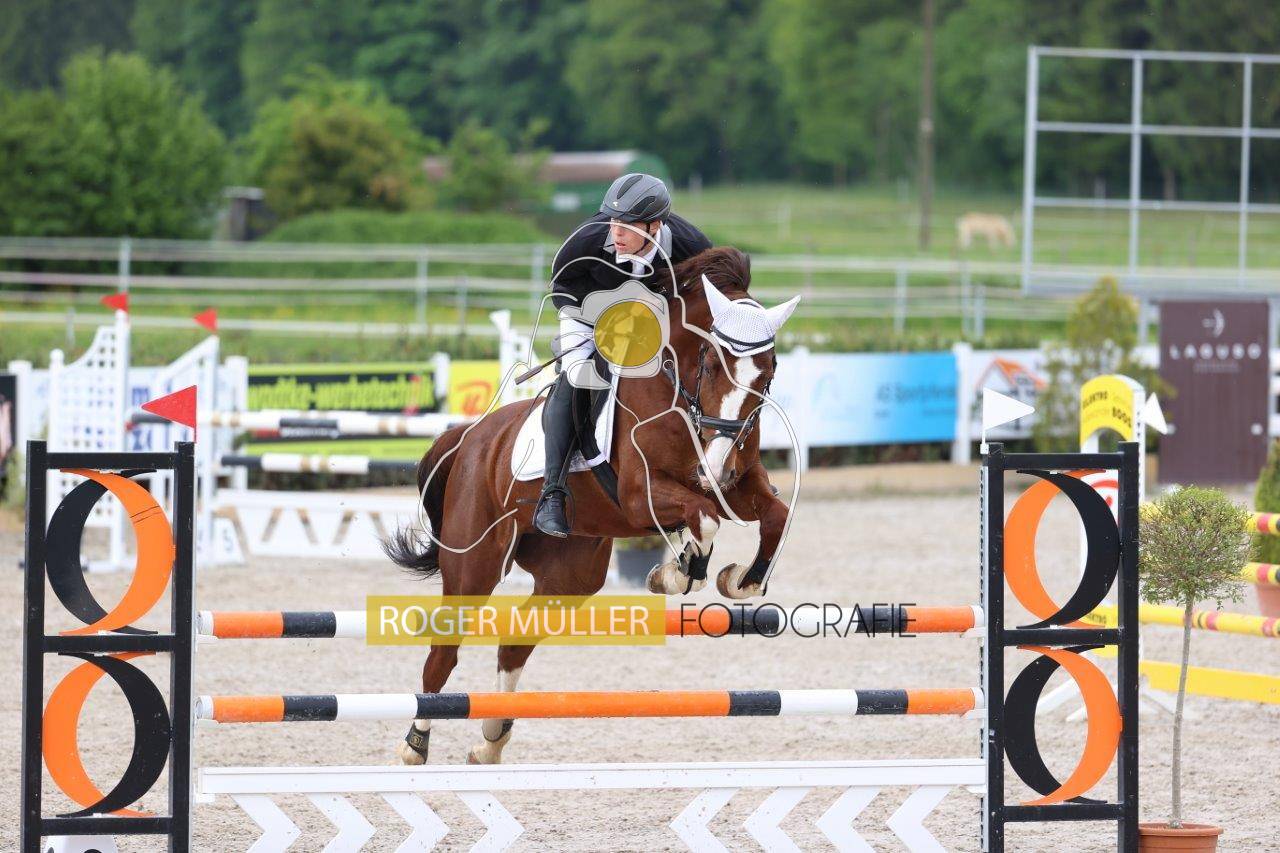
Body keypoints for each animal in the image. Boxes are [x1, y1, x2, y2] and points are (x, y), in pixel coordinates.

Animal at [383, 246, 799, 765]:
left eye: (770, 372)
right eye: (711, 363)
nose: (717, 464)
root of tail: (472, 438)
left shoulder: (736, 484)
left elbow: (773, 516)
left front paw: (738, 579)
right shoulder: (640, 495)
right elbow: (703, 519)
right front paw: (678, 573)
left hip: (570, 574)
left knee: (515, 641)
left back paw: (490, 740)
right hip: (474, 564)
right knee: (444, 651)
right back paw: (415, 745)